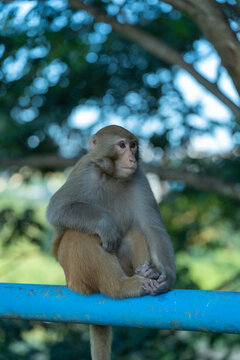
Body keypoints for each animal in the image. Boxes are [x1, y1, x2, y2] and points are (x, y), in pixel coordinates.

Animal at [47, 125, 175, 360]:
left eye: (133, 146)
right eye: (121, 145)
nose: (132, 158)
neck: (112, 176)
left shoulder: (139, 178)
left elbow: (152, 228)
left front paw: (167, 278)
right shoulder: (84, 170)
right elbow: (58, 209)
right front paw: (106, 224)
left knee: (136, 231)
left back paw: (146, 273)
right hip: (75, 278)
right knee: (77, 235)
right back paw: (120, 287)